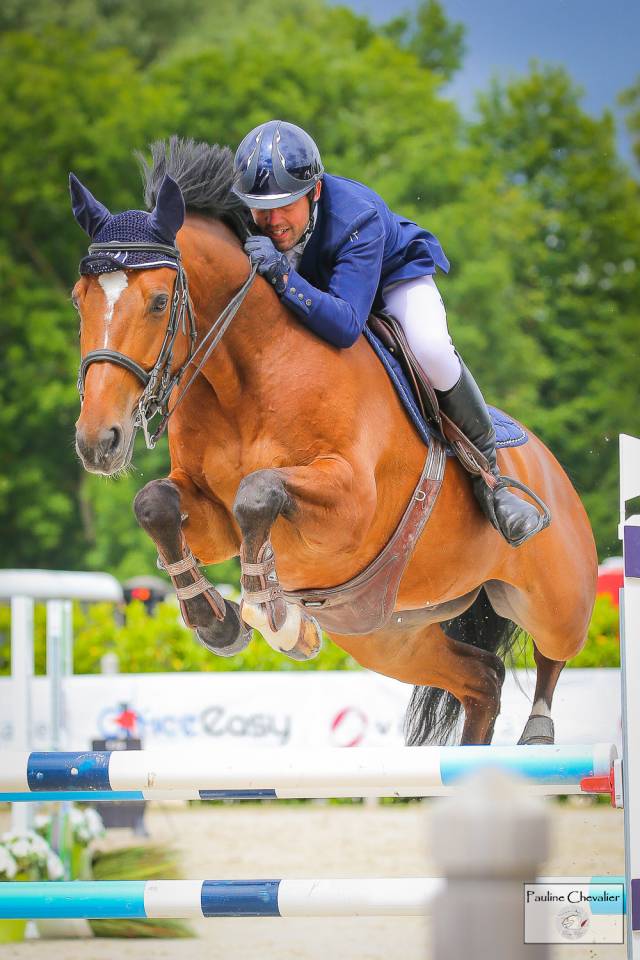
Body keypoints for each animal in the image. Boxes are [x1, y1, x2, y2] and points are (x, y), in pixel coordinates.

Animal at [70, 137, 597, 746]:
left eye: (159, 302)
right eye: (79, 299)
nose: (98, 441)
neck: (242, 377)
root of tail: (550, 468)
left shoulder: (351, 505)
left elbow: (259, 492)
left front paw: (274, 615)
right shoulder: (208, 512)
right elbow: (155, 503)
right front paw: (220, 622)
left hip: (554, 597)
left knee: (553, 652)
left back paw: (537, 726)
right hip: (388, 634)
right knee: (482, 678)